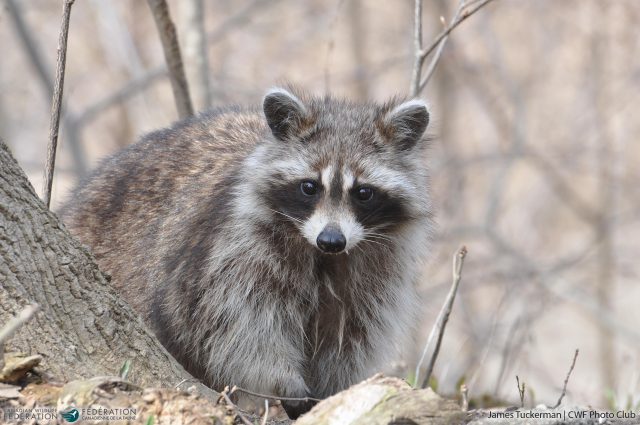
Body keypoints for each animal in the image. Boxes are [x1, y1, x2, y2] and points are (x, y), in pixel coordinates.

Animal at [60, 87, 432, 418]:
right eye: (309, 187)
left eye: (363, 193)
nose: (331, 239)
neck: (323, 256)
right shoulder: (232, 251)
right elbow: (243, 327)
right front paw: (285, 381)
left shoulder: (375, 269)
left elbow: (351, 334)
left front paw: (333, 390)